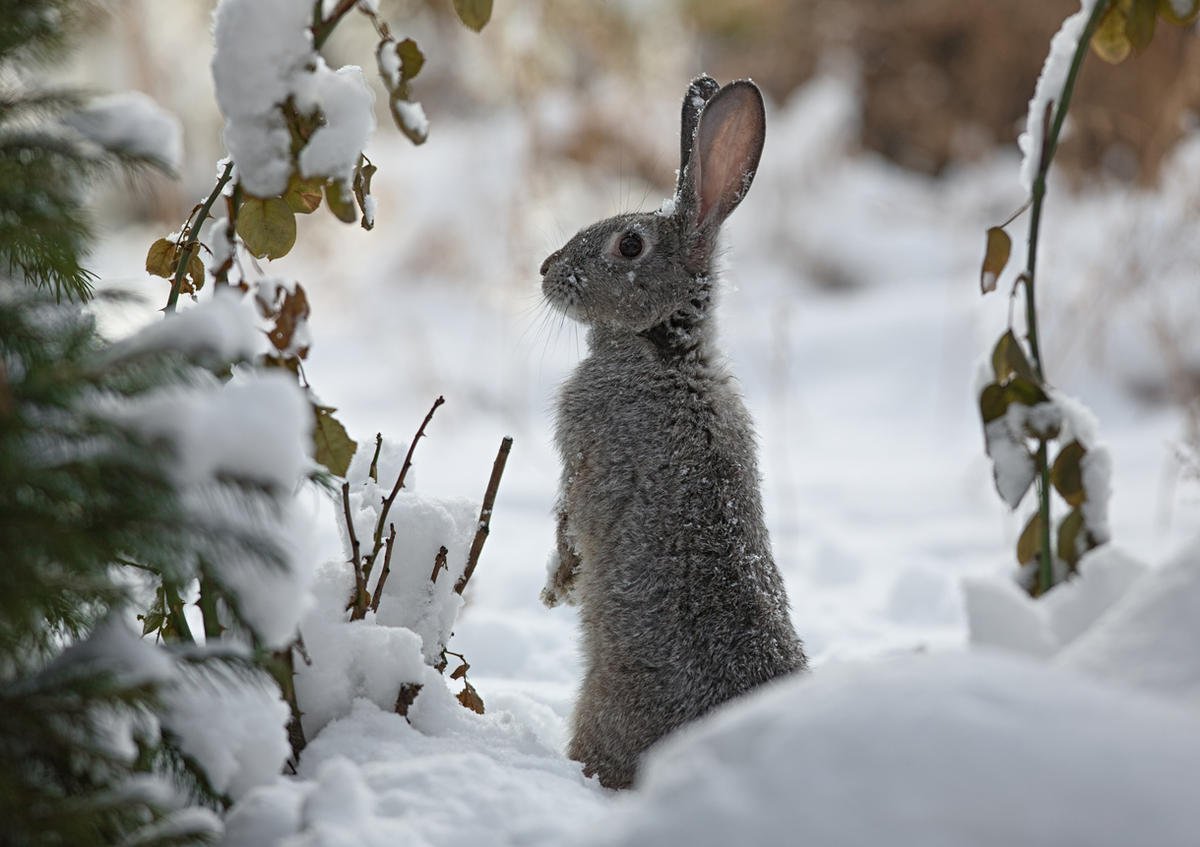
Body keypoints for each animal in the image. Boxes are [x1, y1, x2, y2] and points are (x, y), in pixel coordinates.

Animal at [542, 74, 806, 787]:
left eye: (629, 245)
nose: (545, 271)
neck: (665, 351)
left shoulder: (586, 456)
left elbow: (570, 522)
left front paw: (556, 588)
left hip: (603, 703)